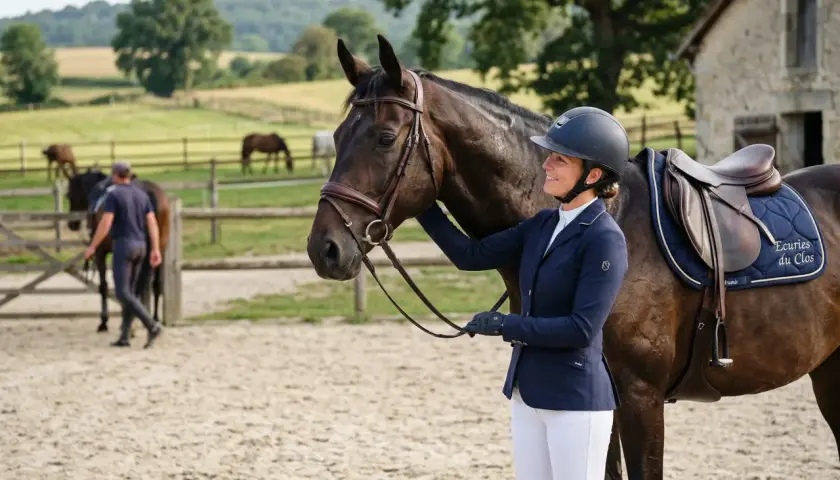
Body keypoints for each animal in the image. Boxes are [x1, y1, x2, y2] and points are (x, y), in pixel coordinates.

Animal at [306, 35, 840, 479]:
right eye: (338, 136)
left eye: (385, 138)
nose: (324, 248)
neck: (614, 219)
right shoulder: (598, 406)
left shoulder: (640, 397)